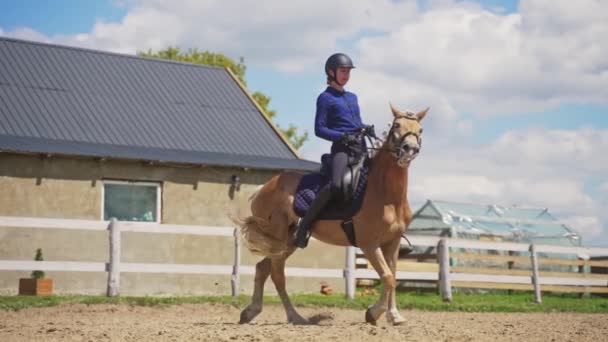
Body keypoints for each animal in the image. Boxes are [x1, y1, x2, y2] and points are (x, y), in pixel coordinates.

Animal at [236, 104, 428, 326]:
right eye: (396, 125)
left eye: (420, 129)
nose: (409, 149)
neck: (385, 194)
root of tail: (264, 187)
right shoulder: (369, 245)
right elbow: (387, 277)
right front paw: (373, 313)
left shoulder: (393, 242)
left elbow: (393, 276)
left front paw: (394, 315)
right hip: (280, 239)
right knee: (277, 275)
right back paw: (295, 317)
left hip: (286, 243)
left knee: (262, 269)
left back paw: (250, 312)